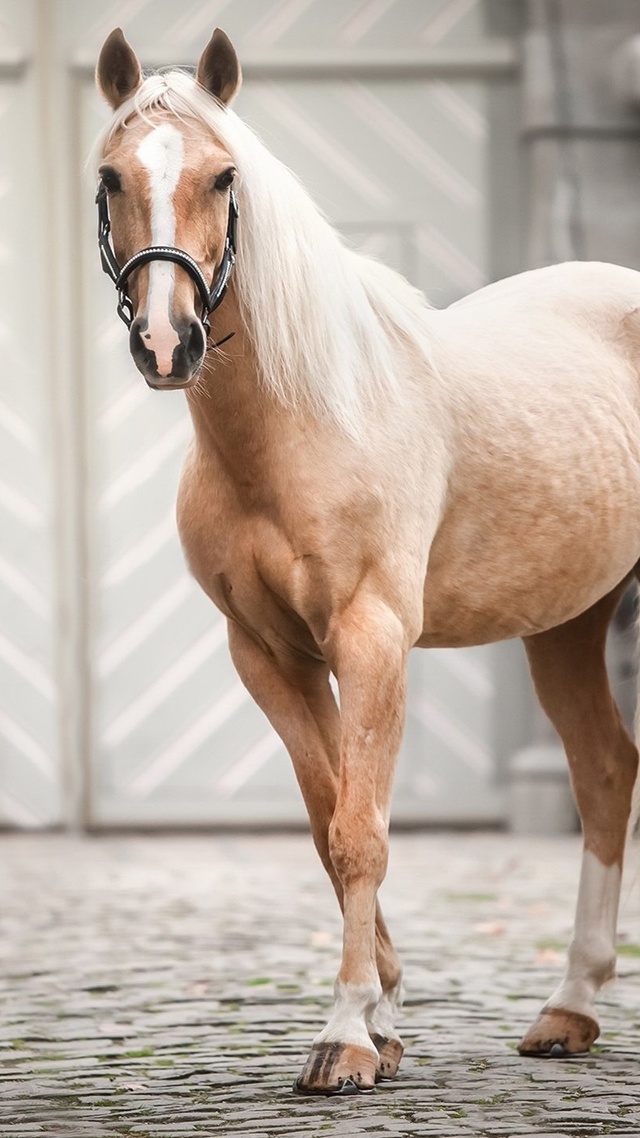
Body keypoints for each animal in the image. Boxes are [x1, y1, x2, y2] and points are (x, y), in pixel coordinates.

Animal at [92, 26, 637, 1092]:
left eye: (224, 176)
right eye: (110, 177)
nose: (168, 342)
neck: (305, 421)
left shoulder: (372, 639)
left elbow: (362, 831)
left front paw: (344, 1035)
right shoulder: (268, 652)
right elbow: (327, 817)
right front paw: (382, 1022)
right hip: (567, 624)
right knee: (604, 772)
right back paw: (570, 1008)